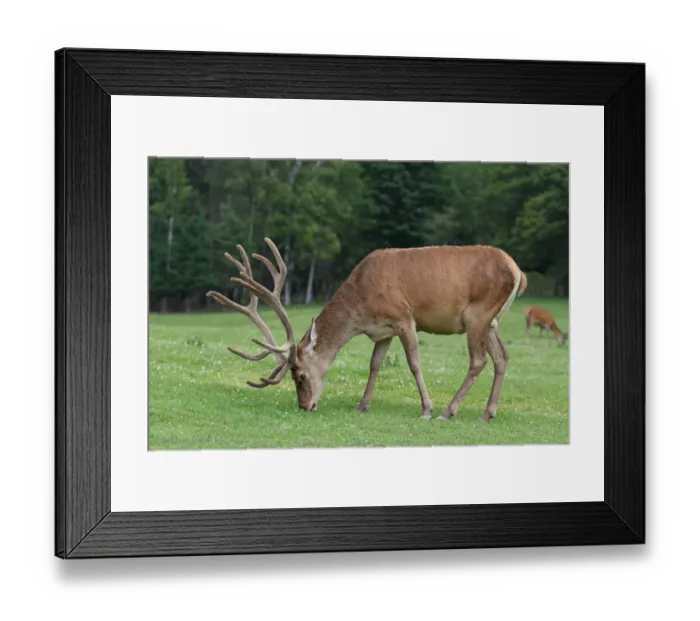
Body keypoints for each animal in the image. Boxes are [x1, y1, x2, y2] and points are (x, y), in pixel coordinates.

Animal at [206, 237, 528, 423]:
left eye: (300, 375)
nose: (305, 405)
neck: (361, 310)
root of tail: (518, 272)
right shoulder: (383, 330)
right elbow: (374, 364)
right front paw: (362, 405)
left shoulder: (404, 317)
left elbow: (414, 363)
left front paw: (426, 409)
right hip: (491, 322)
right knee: (502, 357)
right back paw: (487, 413)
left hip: (477, 315)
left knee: (479, 361)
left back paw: (449, 411)